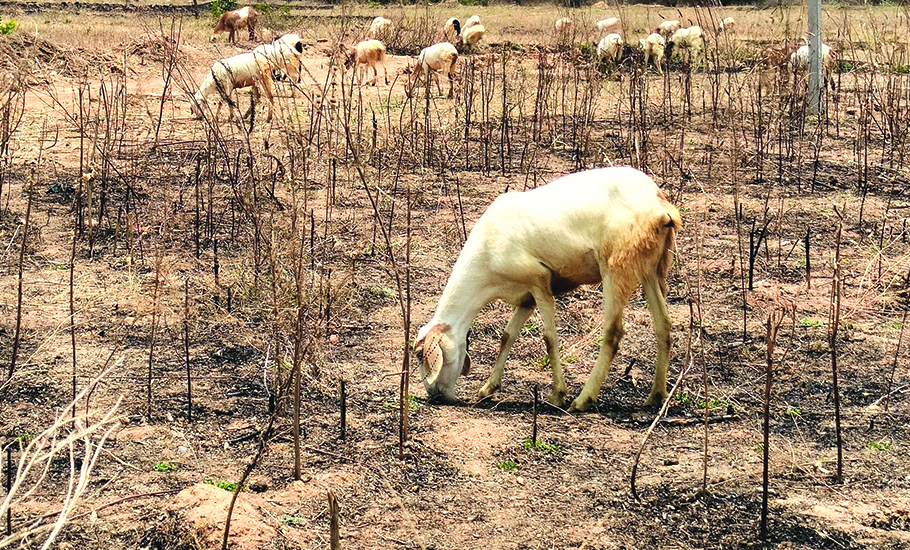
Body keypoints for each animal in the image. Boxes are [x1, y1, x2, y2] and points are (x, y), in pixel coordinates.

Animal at [416, 168, 680, 414]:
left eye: (421, 356)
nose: (434, 396)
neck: (485, 276)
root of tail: (659, 205)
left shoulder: (540, 281)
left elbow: (549, 339)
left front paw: (557, 394)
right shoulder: (526, 297)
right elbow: (507, 336)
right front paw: (489, 388)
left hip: (616, 266)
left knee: (613, 332)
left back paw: (583, 399)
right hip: (651, 267)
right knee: (663, 325)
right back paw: (656, 396)